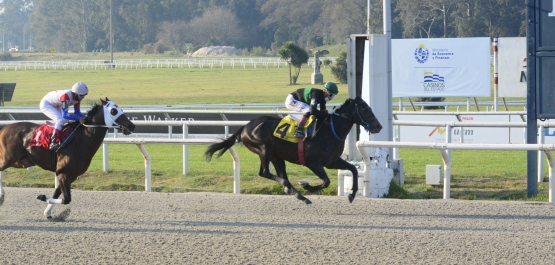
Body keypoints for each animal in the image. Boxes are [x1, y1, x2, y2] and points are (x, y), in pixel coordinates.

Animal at [0, 98, 136, 218]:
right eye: (113, 111)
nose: (132, 126)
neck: (81, 140)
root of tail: (5, 127)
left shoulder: (71, 175)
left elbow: (57, 193)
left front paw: (47, 212)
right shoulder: (63, 172)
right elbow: (66, 199)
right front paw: (42, 197)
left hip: (20, 161)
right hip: (9, 158)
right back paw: (2, 195)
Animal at [206, 96, 384, 203]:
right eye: (365, 109)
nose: (378, 126)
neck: (330, 130)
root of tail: (245, 127)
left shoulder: (332, 161)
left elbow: (353, 169)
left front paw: (352, 194)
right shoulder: (313, 163)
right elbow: (326, 181)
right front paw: (307, 186)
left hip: (277, 156)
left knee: (279, 174)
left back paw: (298, 194)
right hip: (264, 148)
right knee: (264, 172)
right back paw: (297, 191)